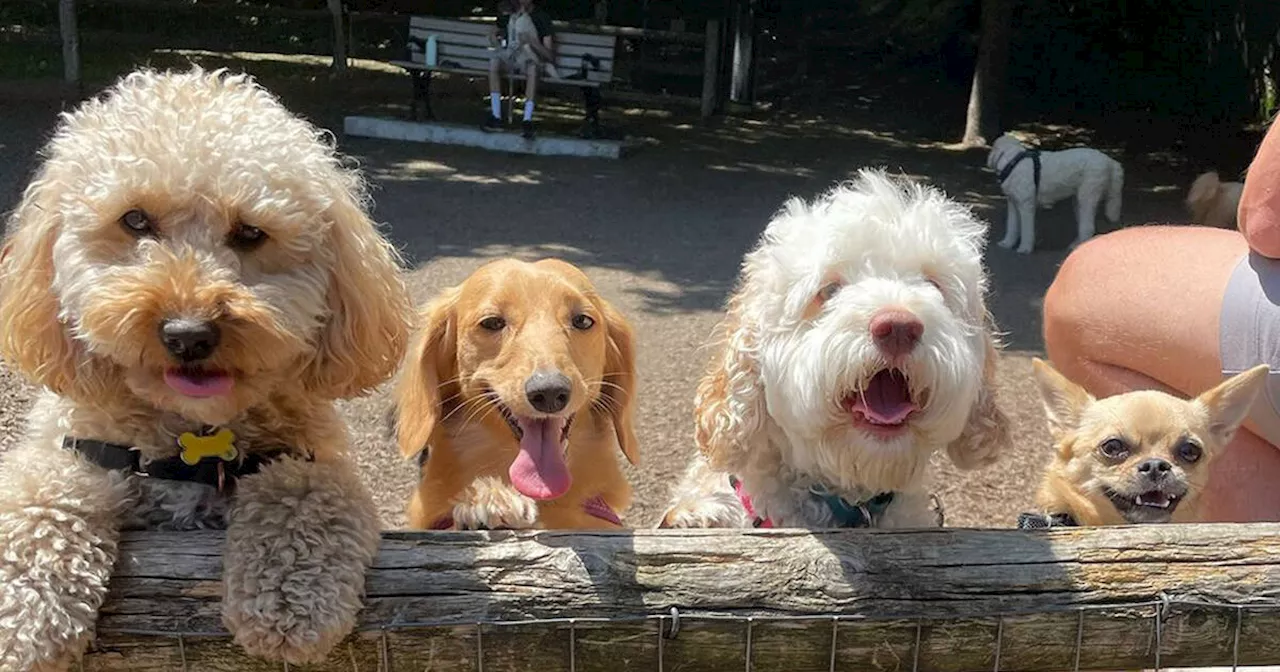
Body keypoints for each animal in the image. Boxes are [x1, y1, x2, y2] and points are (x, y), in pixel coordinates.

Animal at [988, 132, 1121, 253]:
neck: (1013, 161)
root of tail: (1110, 161)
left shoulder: (1026, 205)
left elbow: (1026, 230)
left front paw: (1025, 248)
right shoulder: (1013, 204)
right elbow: (1011, 226)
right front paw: (1007, 243)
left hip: (1087, 196)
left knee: (1088, 228)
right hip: (1078, 201)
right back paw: (1075, 245)